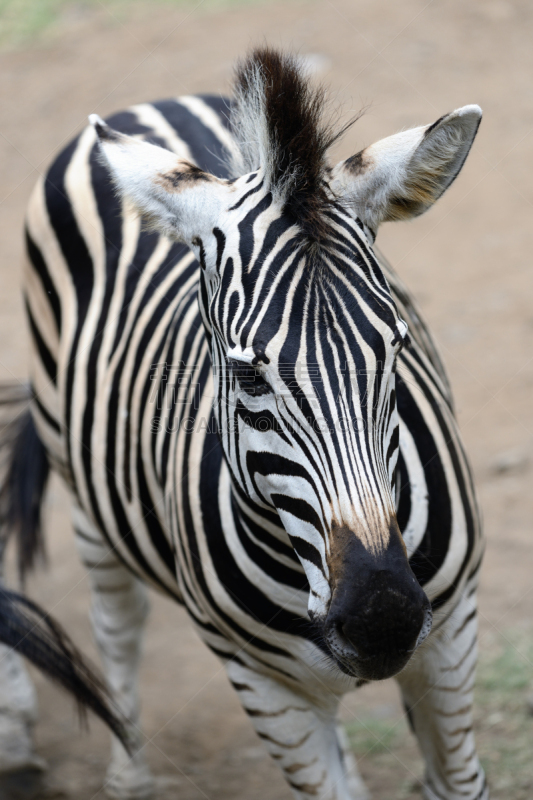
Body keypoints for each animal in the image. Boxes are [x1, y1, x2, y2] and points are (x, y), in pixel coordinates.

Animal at [0, 48, 488, 800]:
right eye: (248, 377)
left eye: (396, 350)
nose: (383, 621)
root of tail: (152, 103)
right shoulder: (263, 689)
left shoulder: (450, 637)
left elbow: (456, 781)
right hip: (83, 490)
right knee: (116, 627)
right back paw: (124, 773)